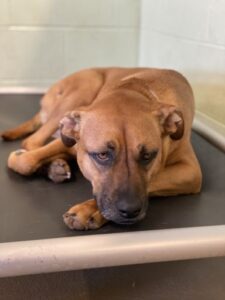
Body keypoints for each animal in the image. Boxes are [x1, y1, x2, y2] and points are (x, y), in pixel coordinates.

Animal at [0, 67, 202, 230]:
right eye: (102, 155)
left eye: (148, 155)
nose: (130, 210)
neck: (136, 90)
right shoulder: (72, 141)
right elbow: (24, 161)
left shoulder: (190, 171)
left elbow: (156, 178)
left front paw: (90, 210)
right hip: (84, 89)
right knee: (31, 142)